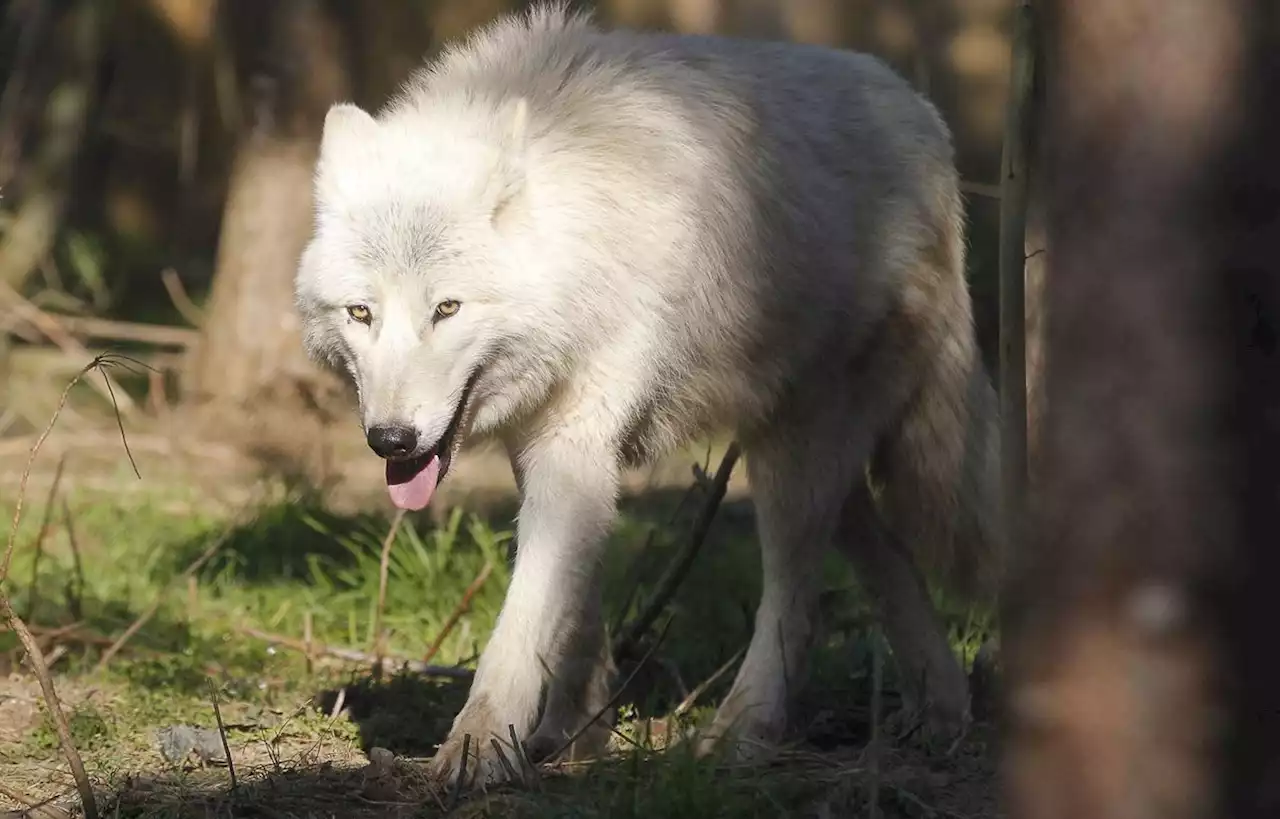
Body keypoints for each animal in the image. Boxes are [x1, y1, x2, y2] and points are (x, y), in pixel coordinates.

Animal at [296, 3, 998, 788]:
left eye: (446, 309)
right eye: (362, 313)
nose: (390, 440)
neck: (575, 247)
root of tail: (921, 114)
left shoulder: (575, 442)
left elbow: (525, 616)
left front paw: (481, 746)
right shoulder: (548, 449)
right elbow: (573, 606)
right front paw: (575, 733)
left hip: (795, 459)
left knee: (798, 600)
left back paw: (738, 736)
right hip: (809, 455)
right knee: (885, 554)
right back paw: (943, 711)